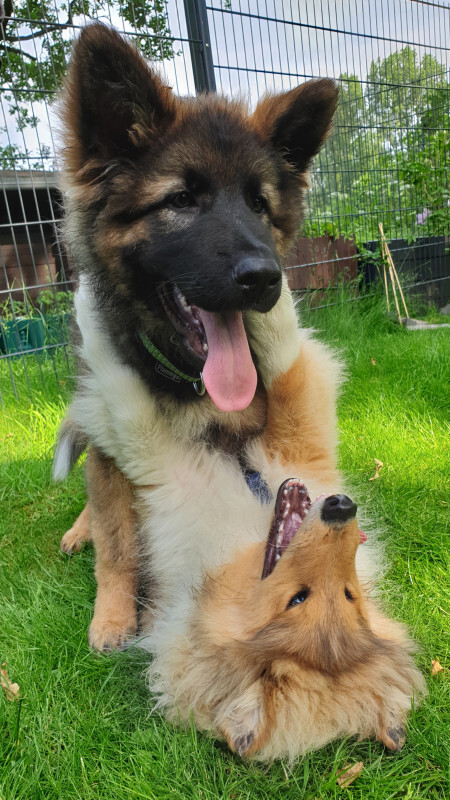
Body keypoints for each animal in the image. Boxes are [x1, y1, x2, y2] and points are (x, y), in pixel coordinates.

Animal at [55, 23, 338, 648]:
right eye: (181, 199)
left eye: (259, 203)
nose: (265, 278)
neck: (187, 379)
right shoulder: (109, 441)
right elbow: (117, 543)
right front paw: (113, 617)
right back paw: (81, 530)